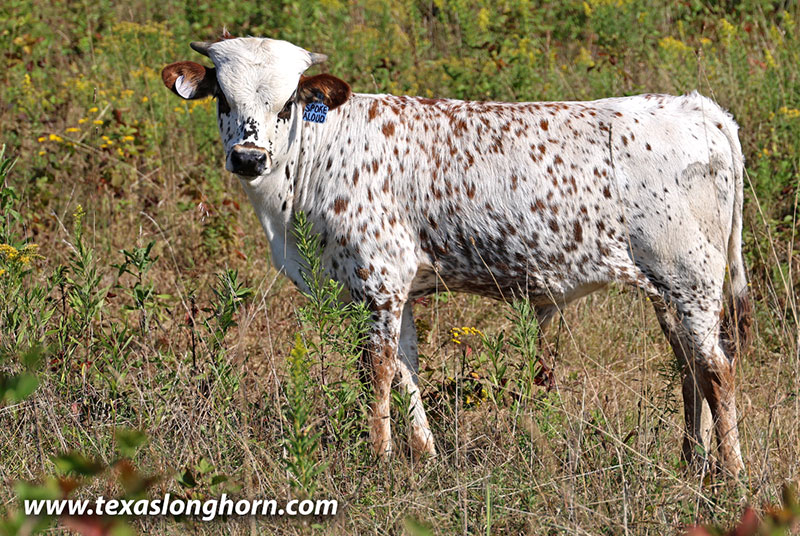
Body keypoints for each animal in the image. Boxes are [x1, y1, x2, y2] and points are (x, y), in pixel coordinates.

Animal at [162, 35, 751, 477]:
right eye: (223, 99)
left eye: (287, 104)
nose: (248, 157)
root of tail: (698, 107)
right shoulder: (394, 290)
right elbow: (407, 368)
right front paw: (424, 456)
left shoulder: (378, 281)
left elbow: (378, 370)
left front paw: (378, 460)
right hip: (664, 289)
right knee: (688, 367)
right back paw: (690, 462)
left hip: (691, 278)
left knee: (717, 367)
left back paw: (731, 473)